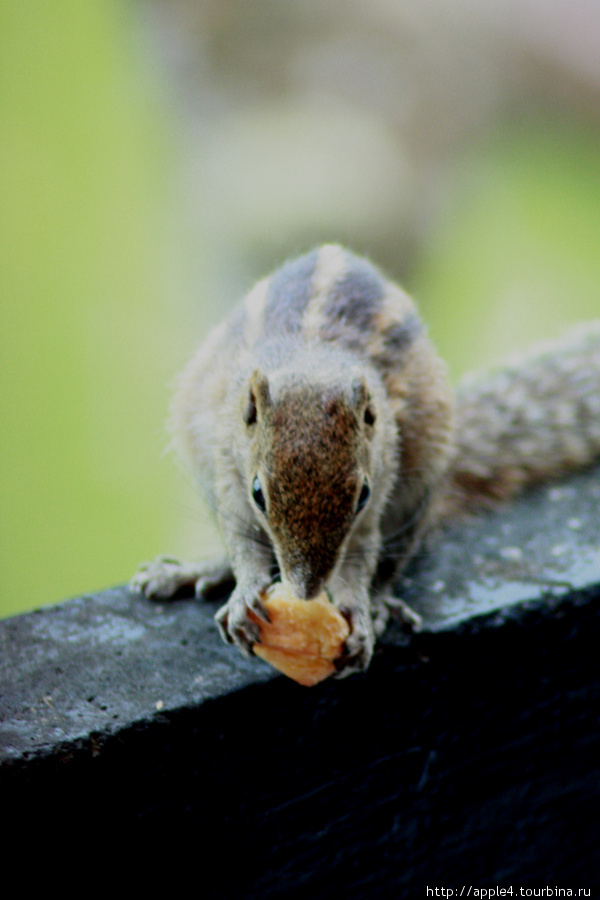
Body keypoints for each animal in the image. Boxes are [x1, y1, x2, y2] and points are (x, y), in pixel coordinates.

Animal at [134, 244, 600, 676]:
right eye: (258, 493)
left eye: (361, 496)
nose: (305, 591)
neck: (310, 357)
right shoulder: (226, 470)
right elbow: (240, 535)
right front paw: (244, 593)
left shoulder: (379, 487)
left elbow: (361, 552)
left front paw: (358, 610)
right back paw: (201, 571)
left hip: (420, 486)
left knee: (394, 560)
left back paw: (380, 603)